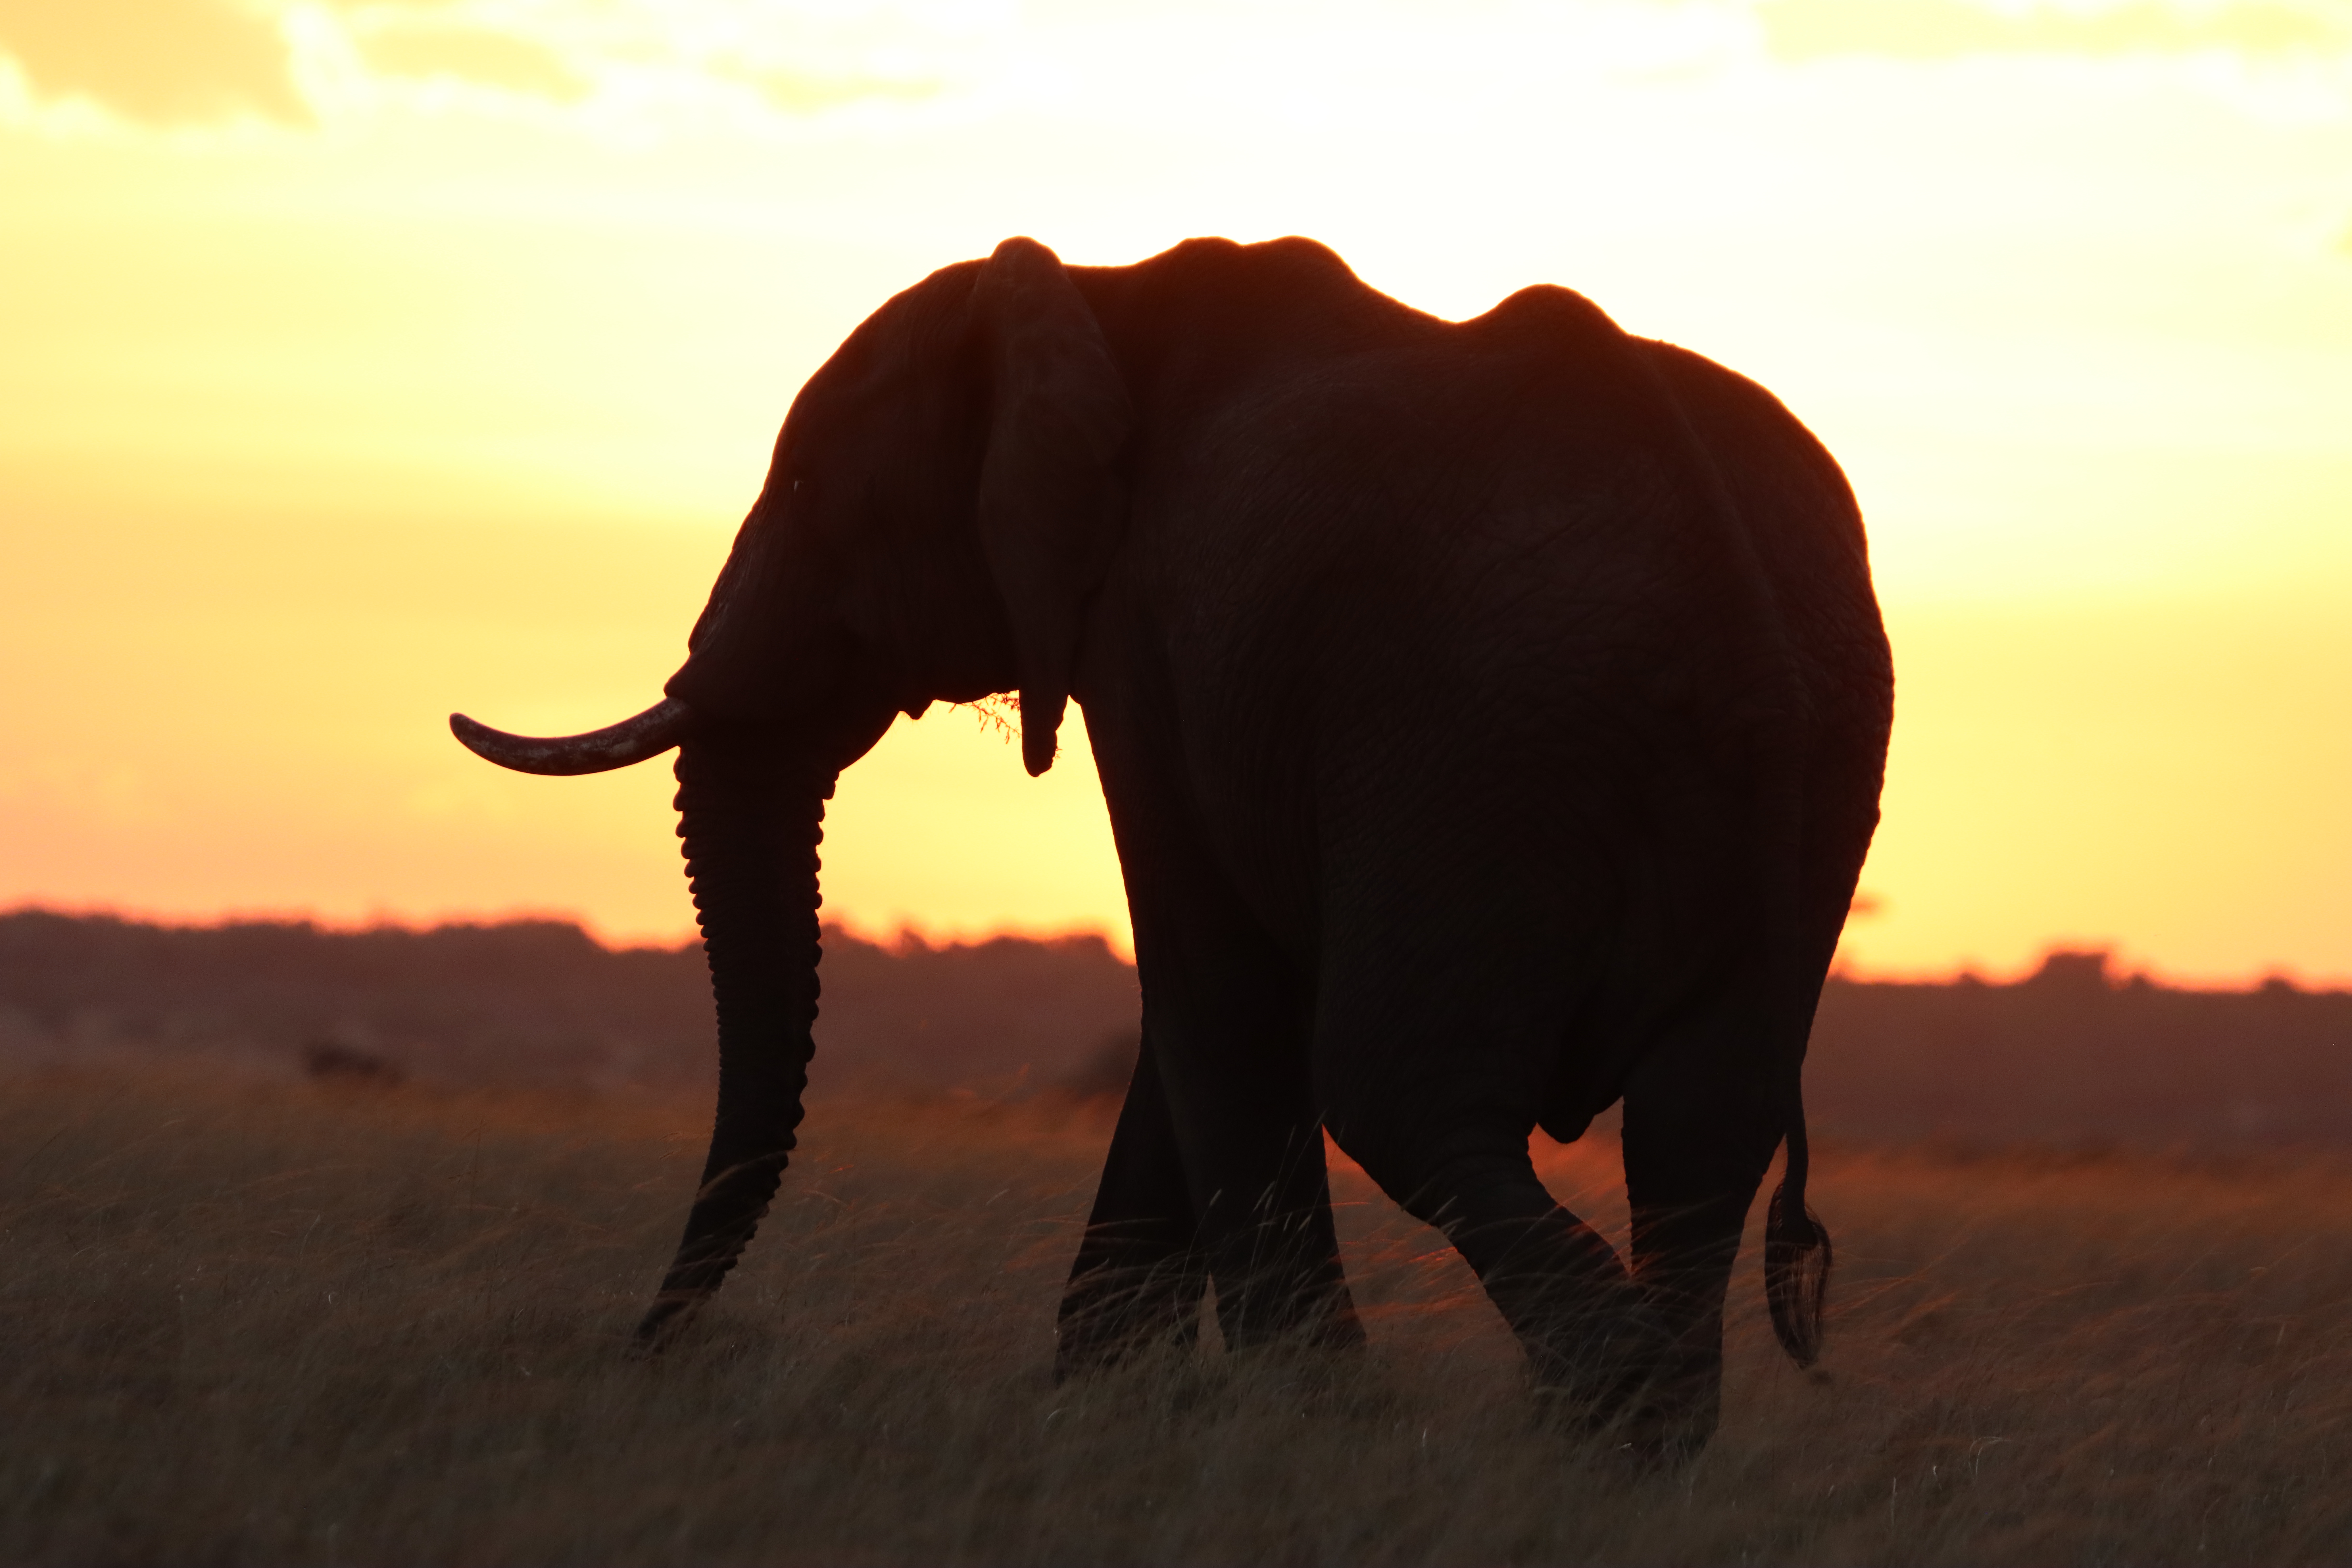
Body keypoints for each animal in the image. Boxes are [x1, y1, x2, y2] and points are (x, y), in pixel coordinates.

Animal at [452, 234, 1892, 1458]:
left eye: (807, 485)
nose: (649, 1349)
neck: (1094, 294)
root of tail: (1745, 623)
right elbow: (1203, 1006)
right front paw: (1102, 1402)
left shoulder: (1149, 641)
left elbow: (1210, 981)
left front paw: (1305, 1428)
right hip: (1800, 770)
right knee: (1701, 1125)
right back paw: (1631, 1452)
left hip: (1486, 743)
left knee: (1407, 1098)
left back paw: (1591, 1425)